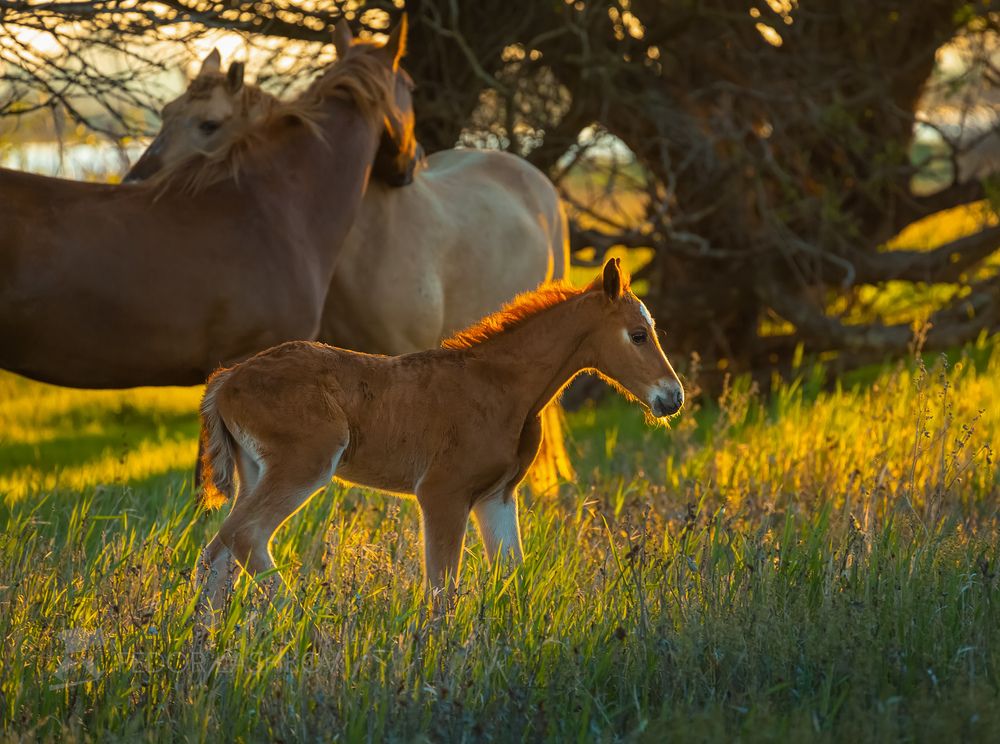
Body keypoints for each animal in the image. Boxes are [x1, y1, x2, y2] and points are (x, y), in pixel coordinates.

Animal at [195, 258, 684, 614]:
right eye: (638, 335)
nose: (672, 397)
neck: (502, 386)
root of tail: (227, 379)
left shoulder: (496, 496)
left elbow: (512, 575)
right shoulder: (442, 493)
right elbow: (442, 591)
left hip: (255, 471)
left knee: (217, 550)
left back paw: (205, 642)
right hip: (304, 464)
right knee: (245, 536)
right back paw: (304, 625)